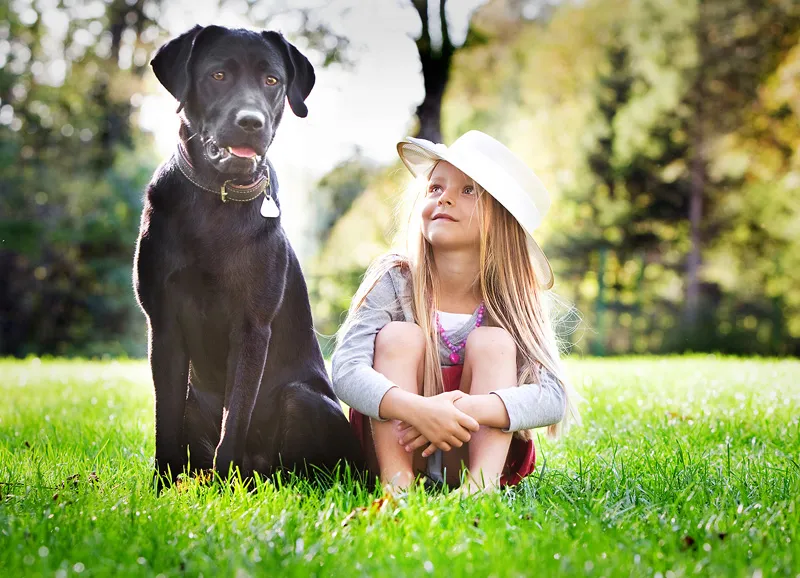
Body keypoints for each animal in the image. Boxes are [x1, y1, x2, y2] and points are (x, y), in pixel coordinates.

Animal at [134, 25, 362, 486]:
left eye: (272, 81)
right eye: (218, 75)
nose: (251, 122)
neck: (216, 199)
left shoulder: (252, 326)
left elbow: (235, 415)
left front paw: (224, 486)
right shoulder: (162, 324)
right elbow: (165, 418)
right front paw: (161, 486)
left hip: (301, 399)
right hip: (195, 394)